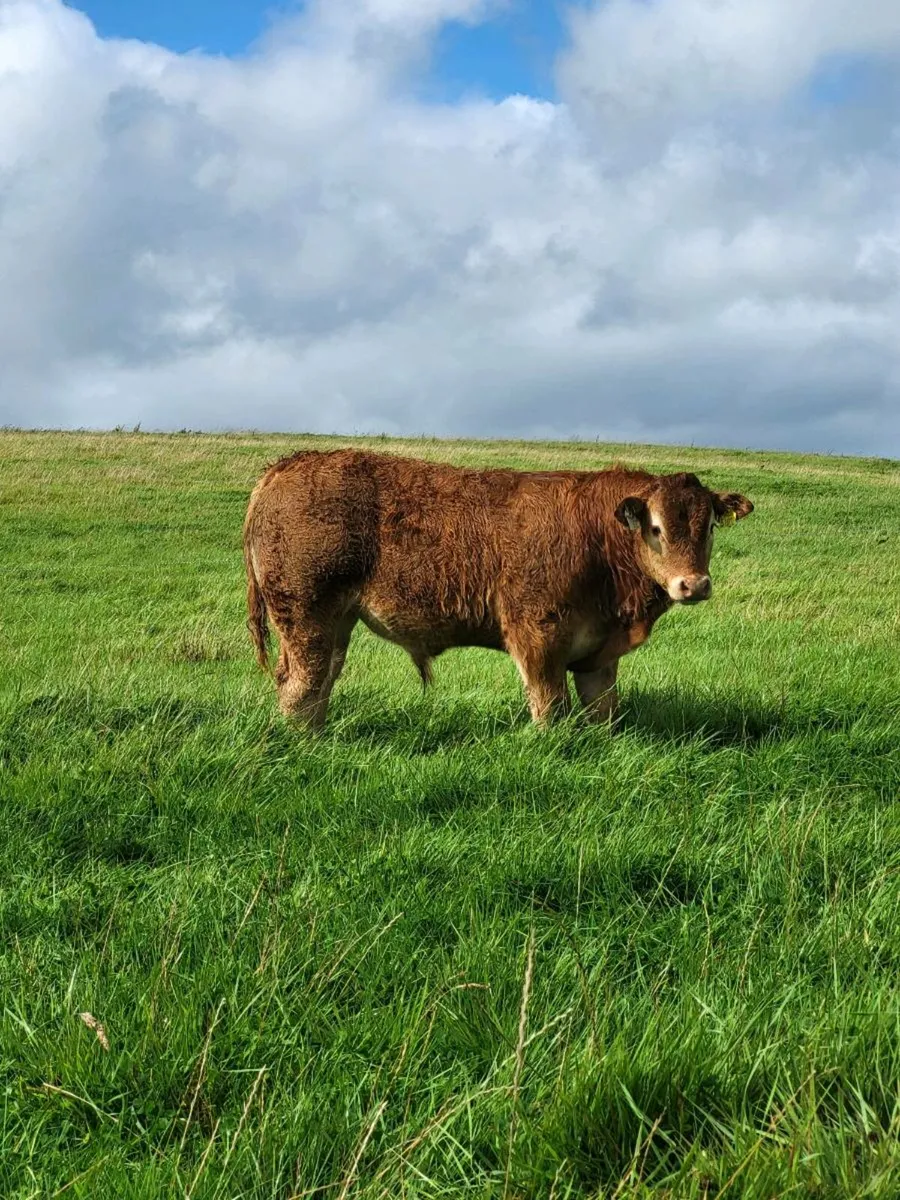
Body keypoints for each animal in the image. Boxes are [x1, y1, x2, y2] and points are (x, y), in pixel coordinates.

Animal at [243, 449, 753, 729]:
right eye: (655, 528)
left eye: (709, 526)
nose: (693, 584)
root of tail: (287, 465)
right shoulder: (537, 637)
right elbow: (550, 708)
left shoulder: (598, 656)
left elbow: (602, 712)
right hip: (305, 616)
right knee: (302, 685)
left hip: (336, 622)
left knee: (322, 680)